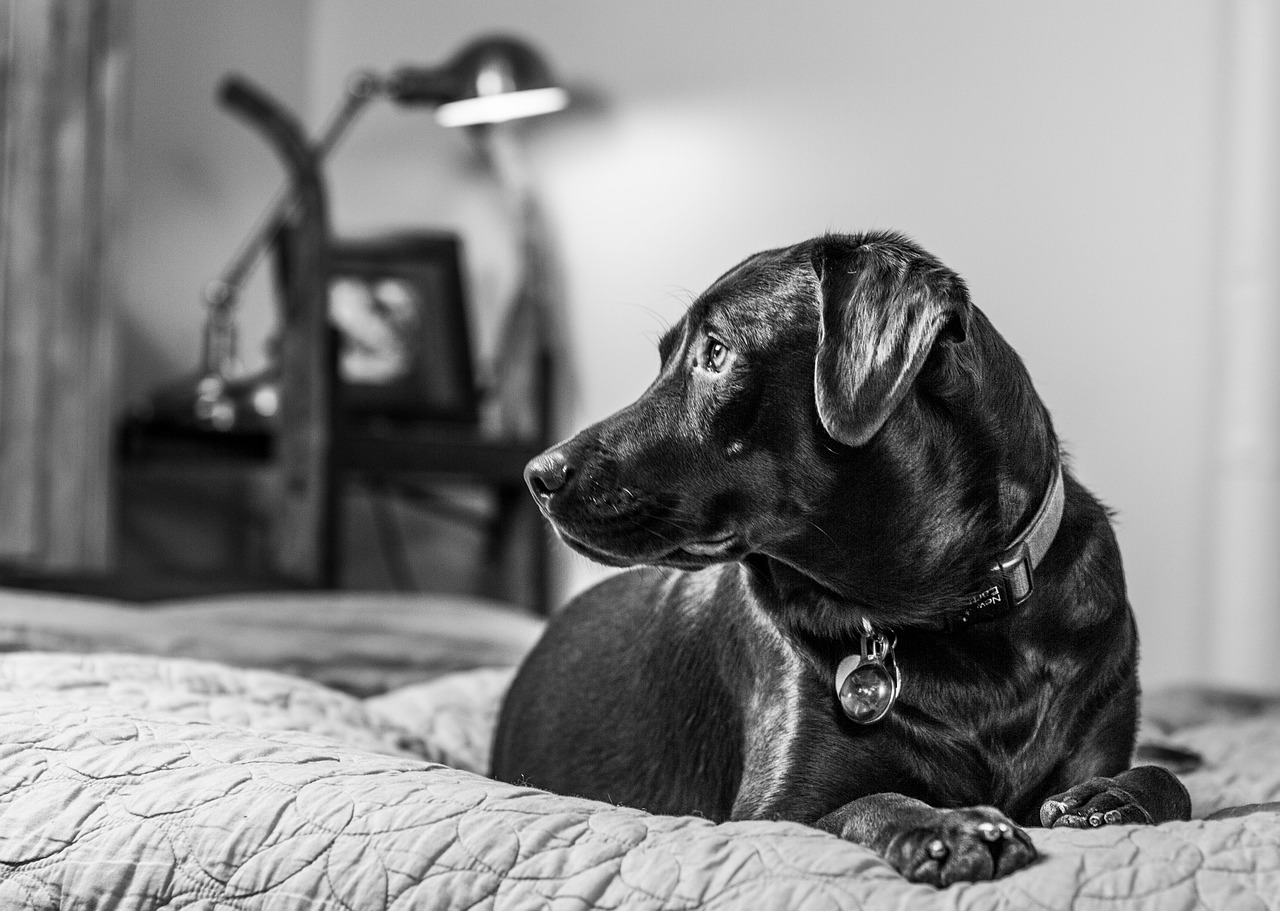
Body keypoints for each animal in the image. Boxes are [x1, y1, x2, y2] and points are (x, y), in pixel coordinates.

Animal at [494, 231, 1192, 885]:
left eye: (715, 353)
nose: (536, 474)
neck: (950, 616)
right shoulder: (767, 813)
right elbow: (870, 801)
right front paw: (951, 826)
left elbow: (1165, 781)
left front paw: (1111, 800)